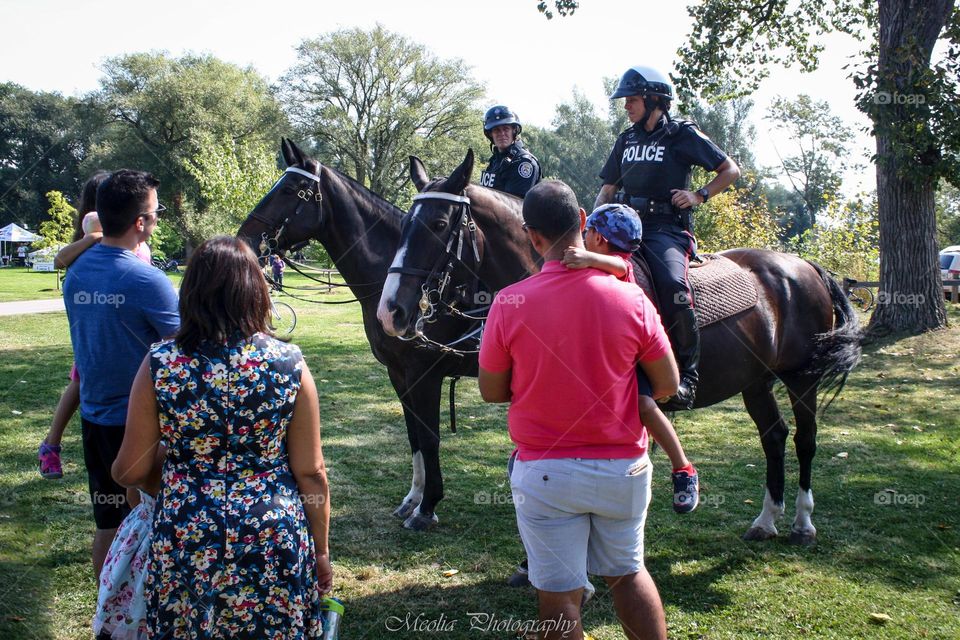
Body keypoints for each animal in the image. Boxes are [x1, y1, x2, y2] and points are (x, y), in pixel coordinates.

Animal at [236, 139, 476, 528]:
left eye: (289, 189)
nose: (244, 239)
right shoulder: (398, 373)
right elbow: (414, 435)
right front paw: (414, 498)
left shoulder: (424, 374)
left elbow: (429, 437)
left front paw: (427, 507)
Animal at [376, 150, 864, 544]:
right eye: (402, 226)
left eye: (439, 225)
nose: (392, 311)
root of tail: (803, 266)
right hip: (756, 380)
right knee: (774, 436)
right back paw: (765, 520)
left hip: (801, 377)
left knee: (804, 439)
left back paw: (802, 522)